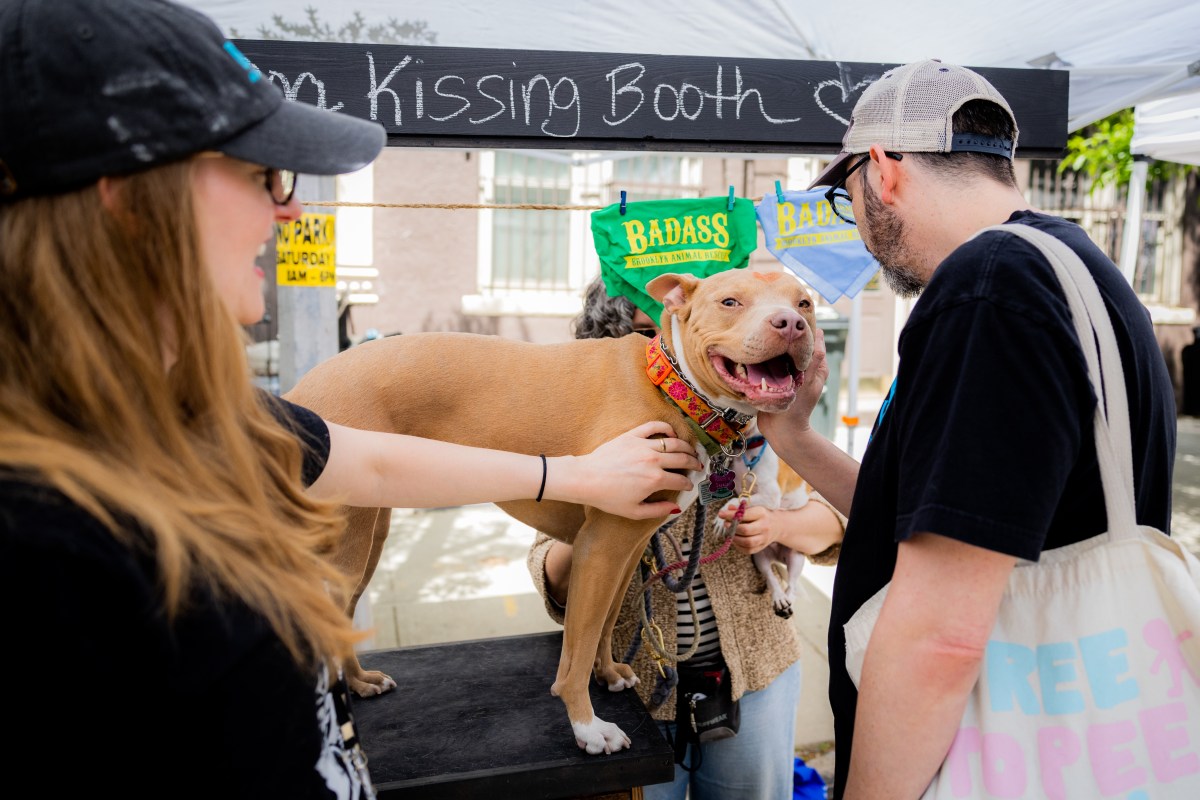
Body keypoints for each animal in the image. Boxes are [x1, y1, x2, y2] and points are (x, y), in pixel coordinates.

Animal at [283, 268, 816, 758]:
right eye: (730, 301)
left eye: (805, 303)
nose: (791, 323)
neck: (670, 387)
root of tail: (299, 390)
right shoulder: (600, 548)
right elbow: (575, 649)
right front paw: (587, 726)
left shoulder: (627, 551)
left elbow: (603, 626)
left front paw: (609, 674)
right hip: (346, 549)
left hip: (367, 540)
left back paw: (359, 682)